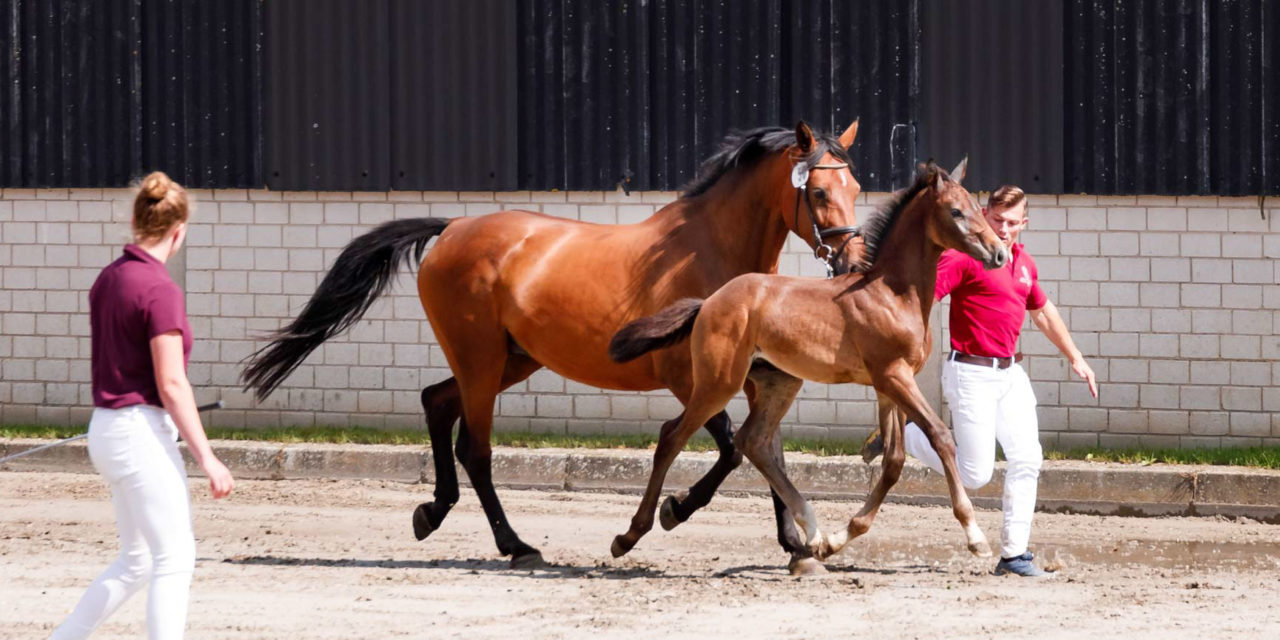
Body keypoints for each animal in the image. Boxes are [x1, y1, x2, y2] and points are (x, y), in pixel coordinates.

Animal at [240, 122, 865, 568]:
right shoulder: (688, 378)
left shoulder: (755, 375)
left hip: (510, 361)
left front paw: (794, 544)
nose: (852, 262)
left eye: (856, 187)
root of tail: (452, 229)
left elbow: (765, 448)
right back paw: (515, 545)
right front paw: (670, 512)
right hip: (482, 361)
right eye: (817, 190)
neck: (711, 252)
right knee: (476, 448)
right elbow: (734, 448)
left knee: (436, 403)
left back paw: (432, 512)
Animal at [609, 160, 1008, 570]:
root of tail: (709, 302)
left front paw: (837, 540)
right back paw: (629, 535)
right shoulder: (892, 376)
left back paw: (812, 536)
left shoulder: (891, 384)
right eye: (956, 211)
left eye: (977, 208)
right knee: (672, 436)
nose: (999, 255)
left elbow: (894, 460)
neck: (892, 294)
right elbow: (940, 436)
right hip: (718, 382)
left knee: (752, 440)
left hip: (780, 382)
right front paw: (976, 537)